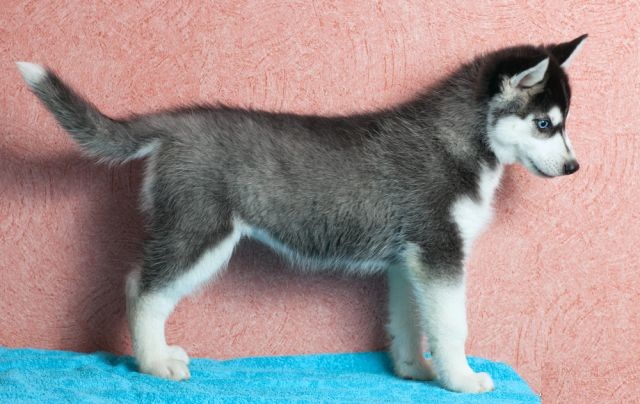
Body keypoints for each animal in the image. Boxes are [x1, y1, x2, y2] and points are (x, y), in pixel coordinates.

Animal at [16, 36, 584, 392]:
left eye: (561, 123)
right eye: (543, 124)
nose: (574, 167)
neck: (462, 139)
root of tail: (175, 120)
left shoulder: (410, 261)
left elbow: (409, 321)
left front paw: (415, 371)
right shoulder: (440, 250)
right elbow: (451, 326)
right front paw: (461, 379)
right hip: (201, 232)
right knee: (143, 287)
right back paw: (153, 363)